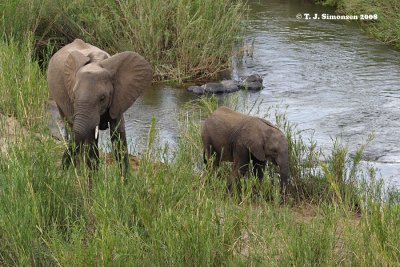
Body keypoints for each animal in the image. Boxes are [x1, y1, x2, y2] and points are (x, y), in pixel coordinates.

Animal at [47, 39, 152, 174]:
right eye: (74, 96)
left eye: (102, 98)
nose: (62, 171)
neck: (96, 62)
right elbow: (91, 142)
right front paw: (95, 179)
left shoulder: (119, 97)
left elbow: (118, 138)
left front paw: (125, 179)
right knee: (70, 127)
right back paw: (77, 171)